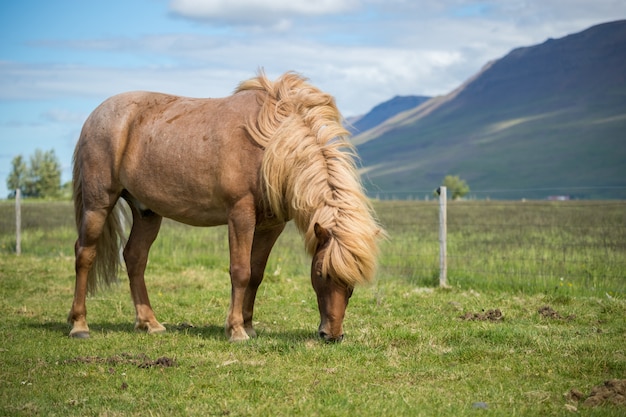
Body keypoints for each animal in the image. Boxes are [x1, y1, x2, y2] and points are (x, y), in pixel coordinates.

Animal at [67, 70, 380, 342]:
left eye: (351, 283)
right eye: (319, 274)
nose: (332, 335)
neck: (270, 146)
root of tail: (95, 116)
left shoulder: (271, 226)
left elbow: (256, 273)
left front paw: (248, 325)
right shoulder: (241, 215)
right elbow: (240, 271)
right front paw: (236, 330)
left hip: (147, 212)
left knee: (134, 257)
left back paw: (150, 323)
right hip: (98, 204)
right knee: (85, 254)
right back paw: (79, 325)